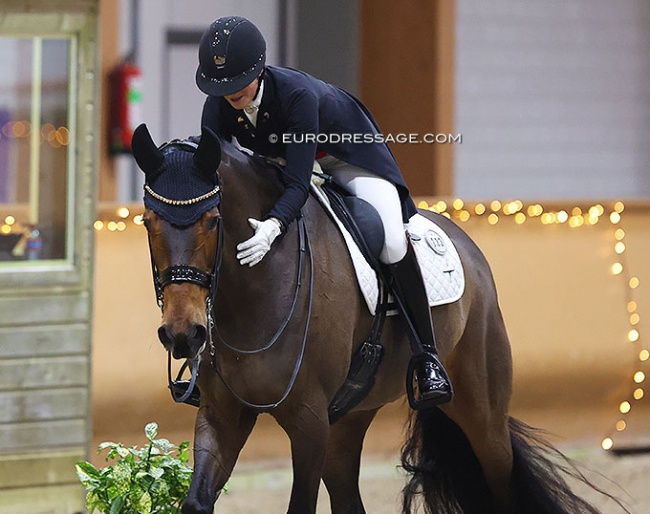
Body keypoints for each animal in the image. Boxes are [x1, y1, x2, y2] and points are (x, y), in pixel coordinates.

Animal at [132, 122, 612, 510]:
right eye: (148, 222)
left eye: (213, 221)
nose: (183, 334)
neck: (255, 291)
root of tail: (466, 245)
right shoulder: (223, 414)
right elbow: (197, 501)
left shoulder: (309, 422)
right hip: (348, 419)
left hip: (482, 414)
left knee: (502, 481)